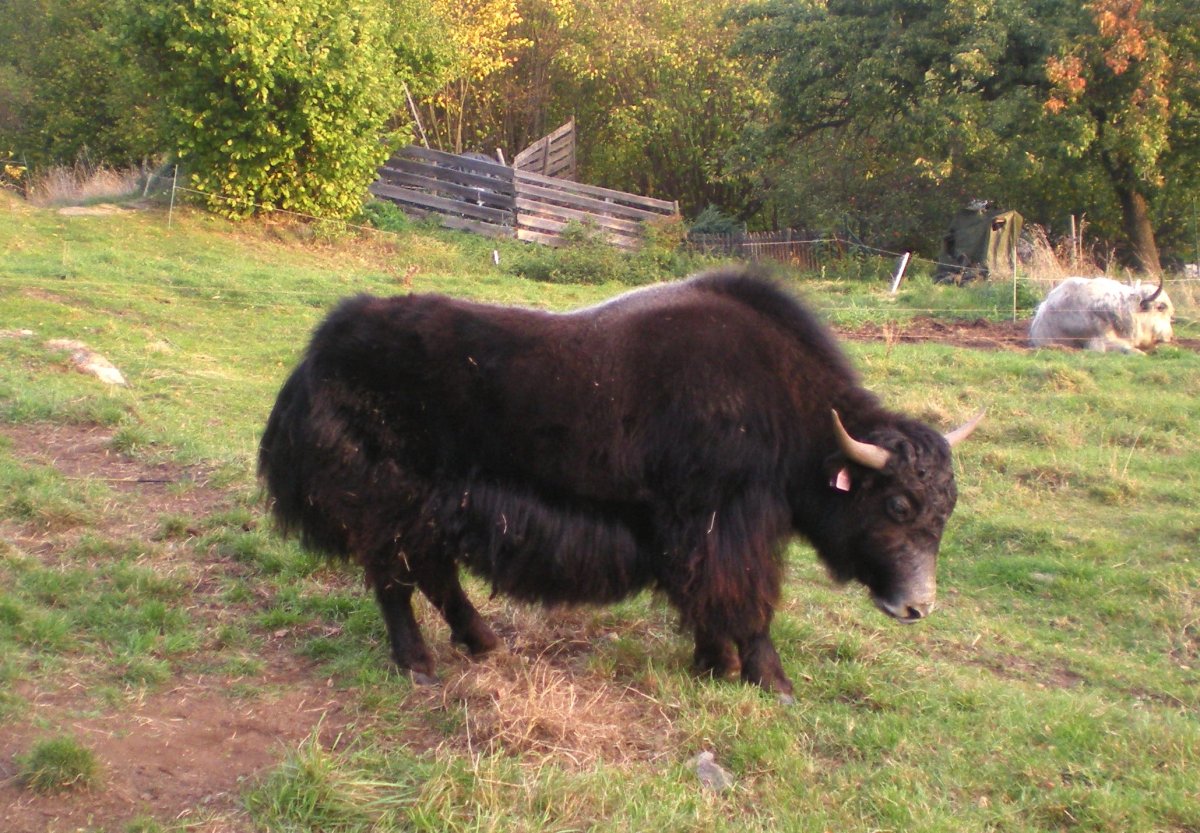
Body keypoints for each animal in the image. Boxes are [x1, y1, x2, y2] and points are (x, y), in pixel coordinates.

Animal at [259, 268, 983, 699]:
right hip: (386, 502)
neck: (790, 411)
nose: (919, 607)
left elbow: (701, 595)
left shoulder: (688, 529)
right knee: (396, 579)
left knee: (431, 574)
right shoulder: (726, 524)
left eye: (944, 511)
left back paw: (484, 641)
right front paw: (770, 681)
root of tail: (318, 353)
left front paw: (713, 663)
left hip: (431, 509)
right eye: (898, 503)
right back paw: (418, 663)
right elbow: (745, 602)